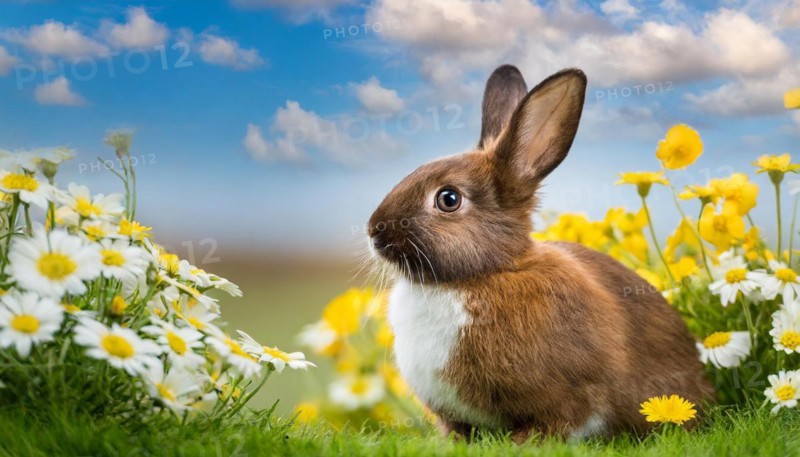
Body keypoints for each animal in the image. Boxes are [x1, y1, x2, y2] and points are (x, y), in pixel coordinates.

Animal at [367, 65, 713, 441]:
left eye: (449, 199)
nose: (374, 231)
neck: (484, 274)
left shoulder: (577, 394)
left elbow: (565, 420)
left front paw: (522, 442)